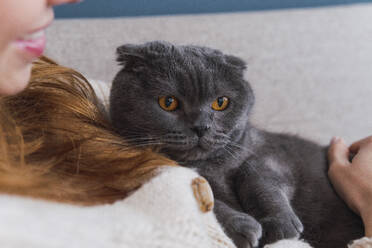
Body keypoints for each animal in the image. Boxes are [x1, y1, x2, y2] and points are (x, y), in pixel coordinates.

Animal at [108, 41, 364, 248]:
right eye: (168, 102)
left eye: (221, 102)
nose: (201, 127)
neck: (212, 166)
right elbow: (207, 202)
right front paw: (243, 228)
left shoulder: (275, 156)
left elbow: (255, 173)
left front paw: (281, 224)